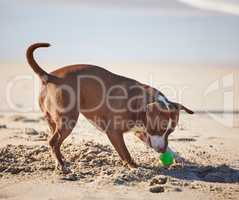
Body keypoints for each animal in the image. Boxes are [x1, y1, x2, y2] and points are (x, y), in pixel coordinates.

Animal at [26, 43, 194, 173]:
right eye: (159, 128)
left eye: (170, 132)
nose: (162, 150)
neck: (139, 105)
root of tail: (50, 76)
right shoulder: (114, 133)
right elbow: (125, 153)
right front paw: (135, 167)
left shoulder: (142, 133)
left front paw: (178, 157)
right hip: (68, 121)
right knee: (53, 142)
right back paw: (61, 165)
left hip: (53, 121)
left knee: (54, 139)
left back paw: (60, 160)